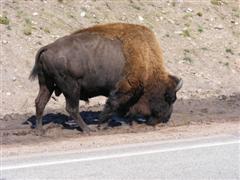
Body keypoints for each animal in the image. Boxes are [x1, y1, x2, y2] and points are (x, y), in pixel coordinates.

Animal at [29, 22, 182, 133]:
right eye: (170, 98)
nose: (165, 119)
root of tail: (48, 48)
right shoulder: (123, 90)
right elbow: (112, 105)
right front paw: (101, 124)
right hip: (71, 88)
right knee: (71, 108)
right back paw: (87, 130)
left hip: (47, 84)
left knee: (40, 102)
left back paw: (40, 131)